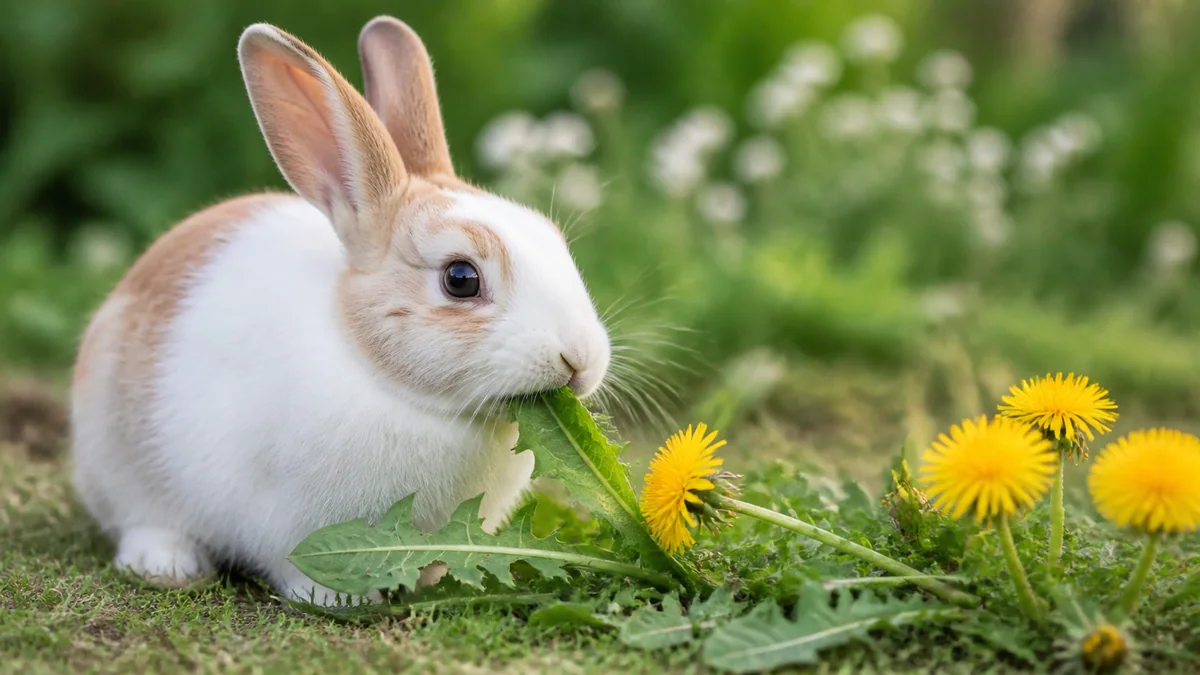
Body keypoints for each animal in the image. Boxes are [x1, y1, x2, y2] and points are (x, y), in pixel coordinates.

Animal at [69, 16, 611, 605]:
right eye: (460, 279)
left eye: (553, 239)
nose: (580, 358)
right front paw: (338, 598)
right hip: (118, 463)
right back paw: (167, 565)